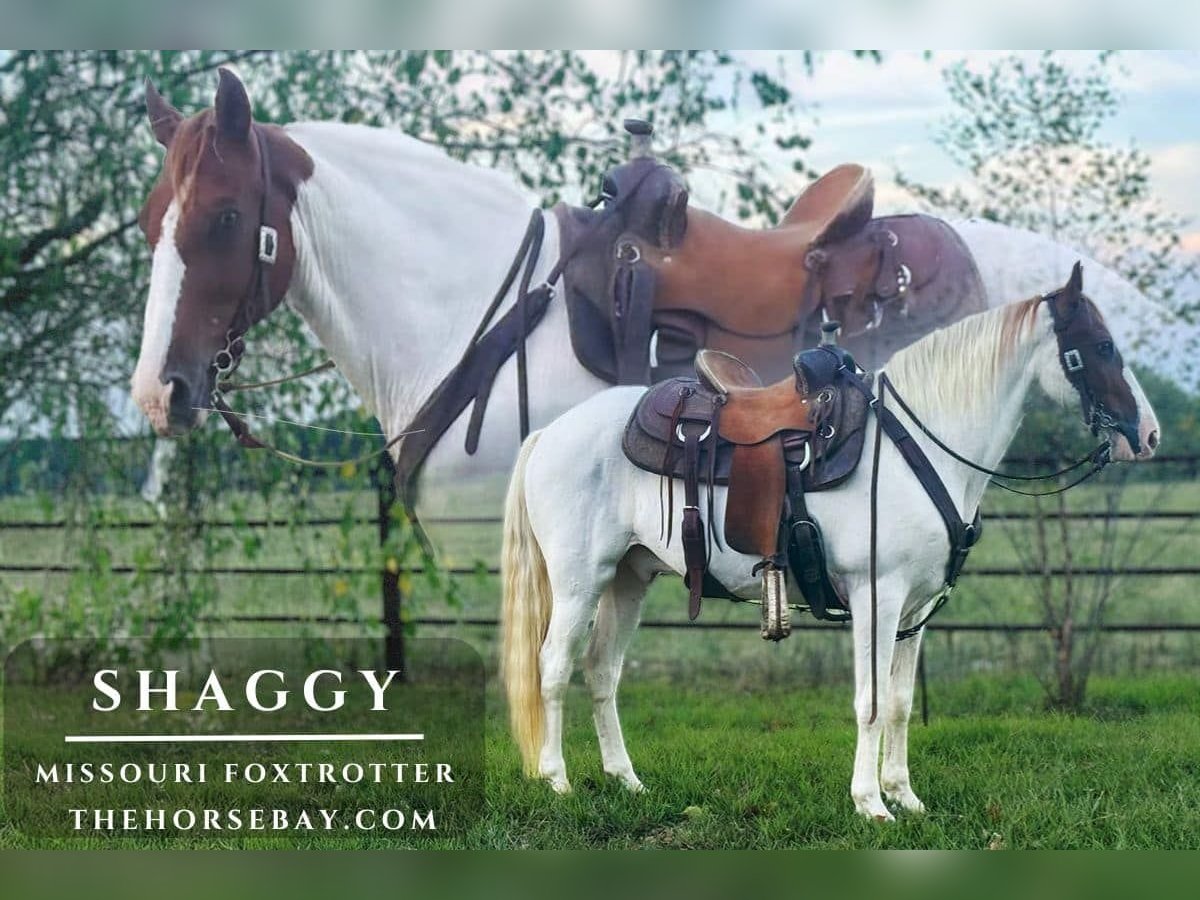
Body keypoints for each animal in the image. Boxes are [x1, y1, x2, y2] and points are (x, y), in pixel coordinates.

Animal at [499, 265, 1160, 819]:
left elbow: (899, 702)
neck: (915, 444)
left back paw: (626, 781)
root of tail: (548, 433)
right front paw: (871, 805)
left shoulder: (914, 612)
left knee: (601, 671)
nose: (1148, 434)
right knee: (553, 666)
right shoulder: (877, 597)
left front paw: (905, 796)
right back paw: (557, 781)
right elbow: (870, 701)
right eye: (1102, 346)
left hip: (628, 579)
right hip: (581, 580)